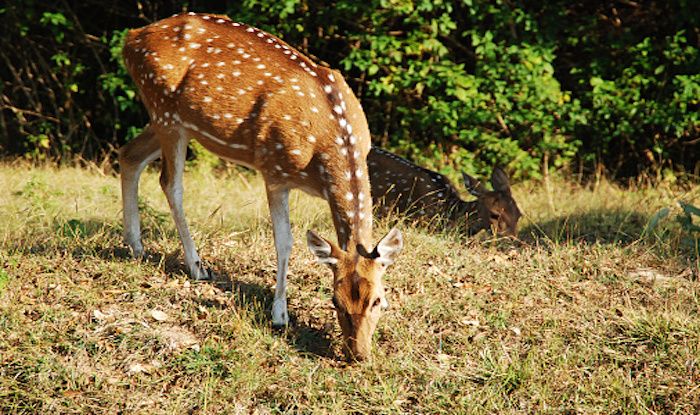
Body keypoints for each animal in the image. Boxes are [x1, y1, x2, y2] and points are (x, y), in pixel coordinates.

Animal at [121, 11, 404, 360]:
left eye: (377, 299)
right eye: (334, 300)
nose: (357, 353)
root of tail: (131, 38)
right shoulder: (274, 170)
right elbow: (285, 242)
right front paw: (279, 313)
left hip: (167, 120)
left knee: (129, 155)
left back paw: (136, 246)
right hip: (166, 113)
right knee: (170, 184)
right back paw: (197, 266)